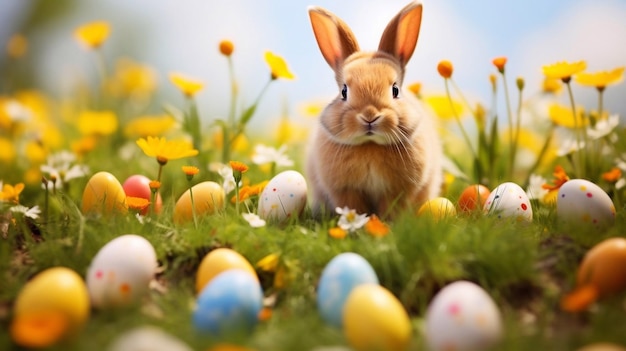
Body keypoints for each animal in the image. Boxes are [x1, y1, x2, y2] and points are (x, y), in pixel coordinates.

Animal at [304, 1, 442, 219]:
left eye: (395, 90)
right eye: (344, 91)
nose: (369, 116)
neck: (370, 145)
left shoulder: (396, 191)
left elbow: (391, 208)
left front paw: (387, 223)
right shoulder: (347, 190)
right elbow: (354, 207)